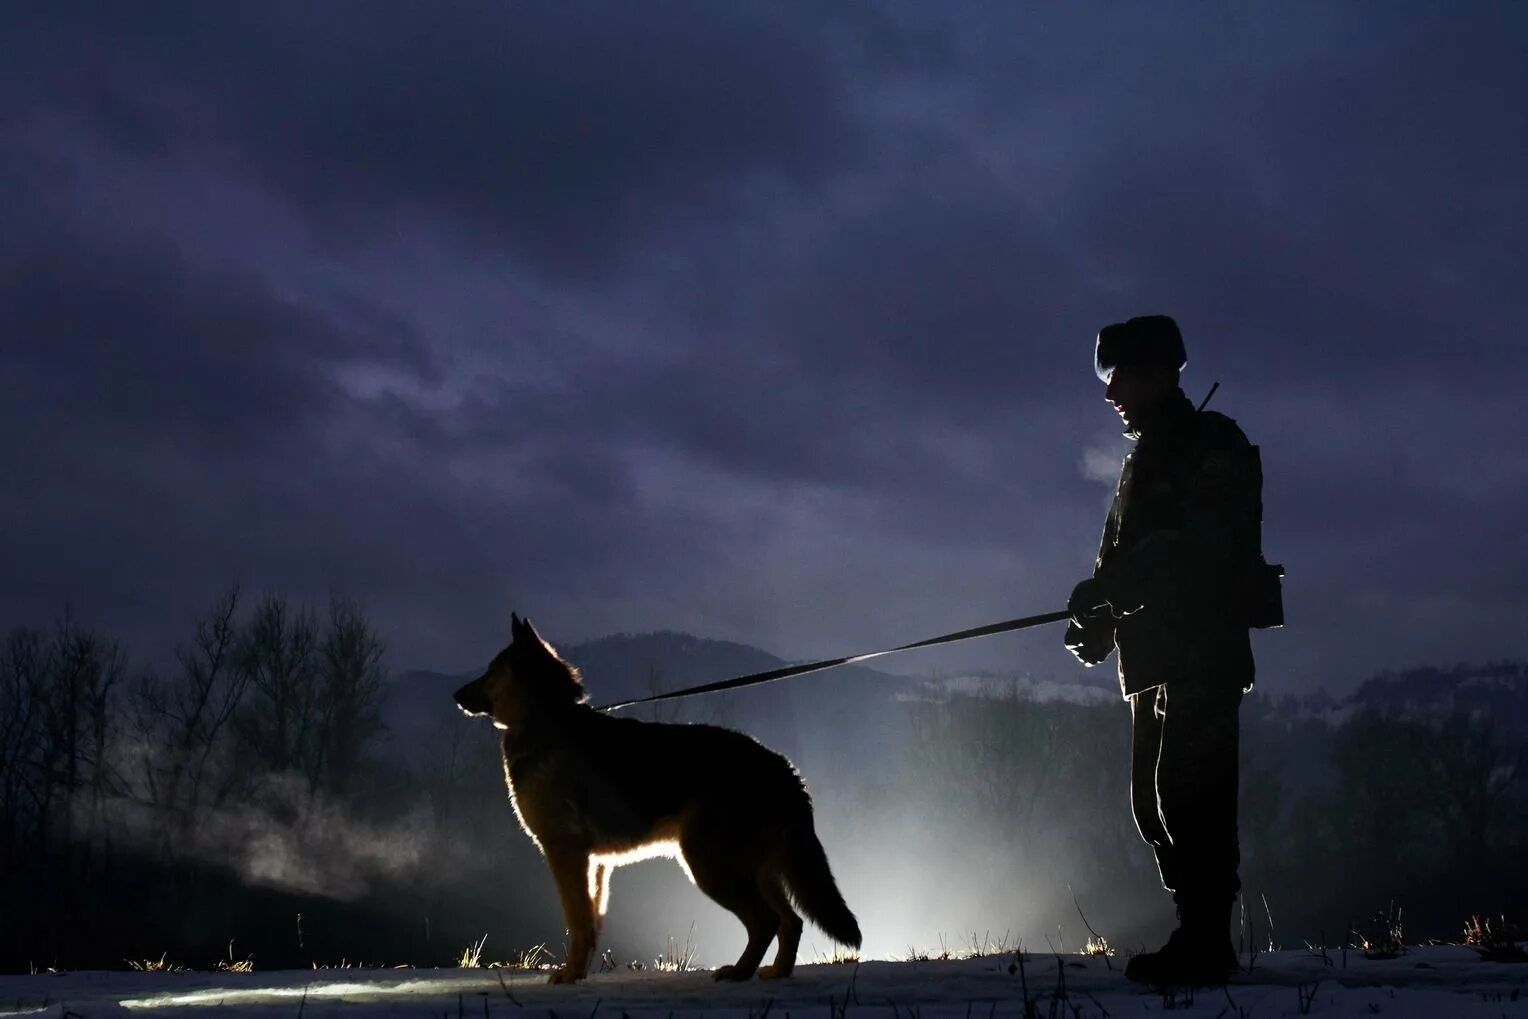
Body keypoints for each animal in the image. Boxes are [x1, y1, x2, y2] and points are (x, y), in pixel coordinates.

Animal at [449, 617, 861, 983]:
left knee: (767, 921)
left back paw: (740, 972)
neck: (546, 718)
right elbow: (591, 923)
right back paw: (777, 972)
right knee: (791, 922)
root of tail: (782, 766)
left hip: (711, 868)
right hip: (754, 870)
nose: (454, 697)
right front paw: (578, 972)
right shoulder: (595, 864)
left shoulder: (565, 854)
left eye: (489, 672)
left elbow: (577, 920)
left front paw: (567, 975)